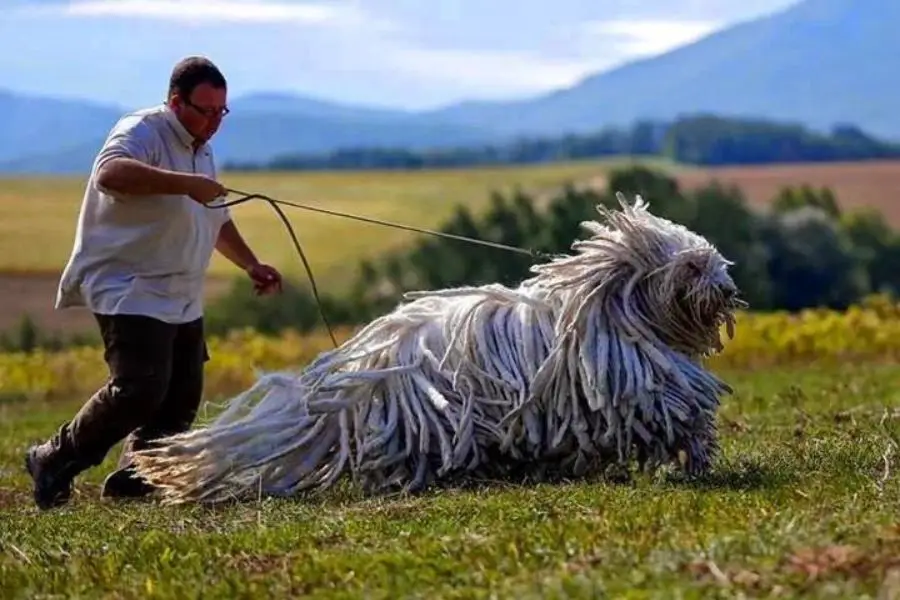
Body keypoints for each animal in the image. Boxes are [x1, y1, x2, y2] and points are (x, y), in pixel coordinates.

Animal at [128, 195, 744, 504]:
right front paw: (697, 456)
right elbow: (679, 414)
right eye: (693, 266)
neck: (611, 306)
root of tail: (352, 372)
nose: (727, 288)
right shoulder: (638, 387)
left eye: (713, 259)